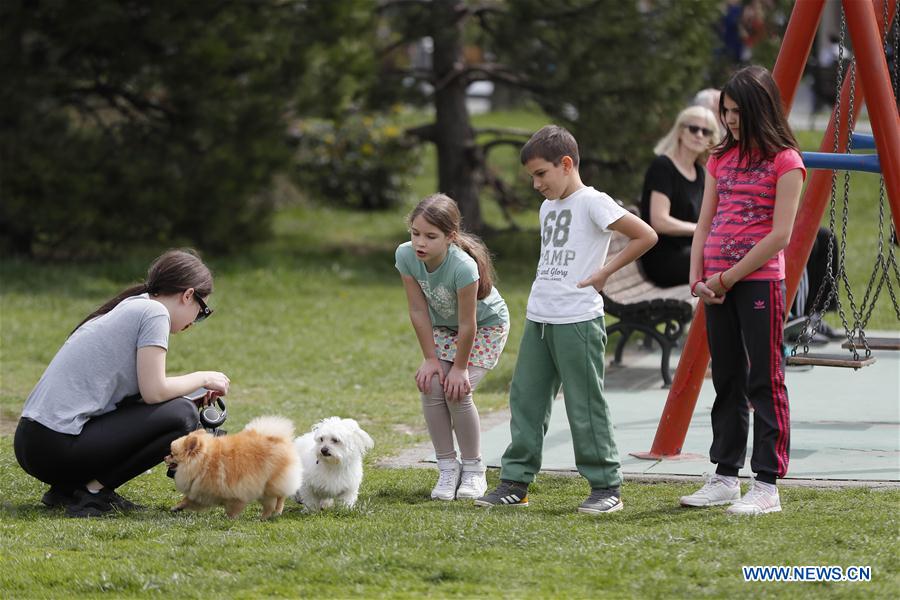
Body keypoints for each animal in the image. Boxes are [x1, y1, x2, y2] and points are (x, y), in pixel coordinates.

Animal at [163, 414, 300, 516]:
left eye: (172, 454)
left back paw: (271, 514)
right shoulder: (201, 491)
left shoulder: (233, 490)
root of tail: (279, 439)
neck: (204, 462)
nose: (164, 458)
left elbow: (232, 508)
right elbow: (187, 500)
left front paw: (230, 518)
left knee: (277, 499)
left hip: (269, 484)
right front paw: (177, 507)